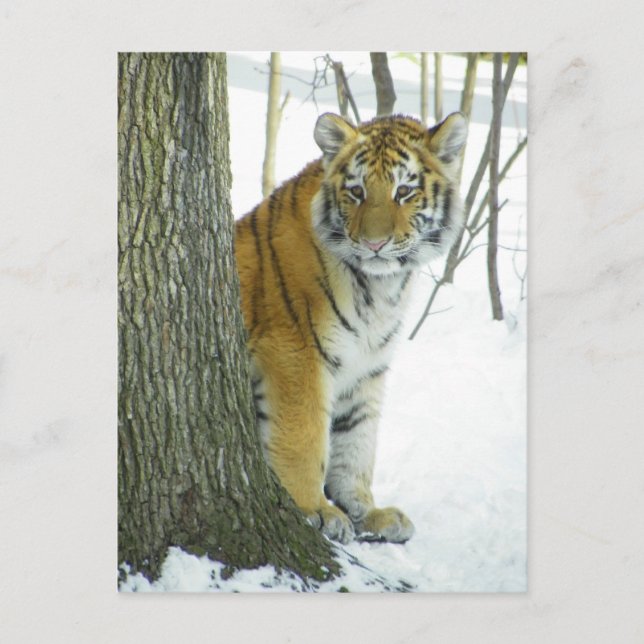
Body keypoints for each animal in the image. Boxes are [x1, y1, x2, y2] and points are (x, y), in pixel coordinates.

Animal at [234, 111, 467, 544]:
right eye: (356, 191)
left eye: (404, 191)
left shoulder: (367, 367)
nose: (375, 244)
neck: (381, 288)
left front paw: (366, 511)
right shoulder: (295, 352)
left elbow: (356, 440)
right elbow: (304, 434)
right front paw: (313, 509)